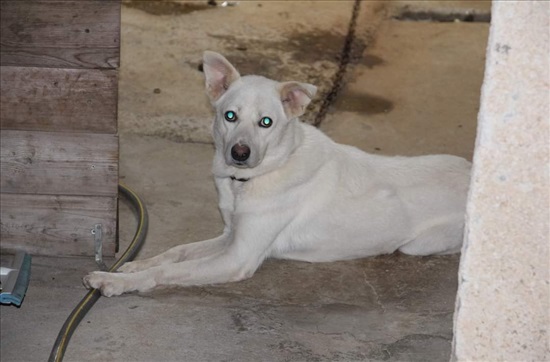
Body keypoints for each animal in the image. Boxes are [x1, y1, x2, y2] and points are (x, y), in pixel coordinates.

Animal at [84, 51, 472, 296]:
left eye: (266, 122)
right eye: (230, 115)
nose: (239, 154)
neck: (249, 182)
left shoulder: (238, 257)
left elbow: (168, 270)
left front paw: (114, 282)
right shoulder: (231, 235)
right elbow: (175, 252)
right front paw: (134, 265)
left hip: (418, 245)